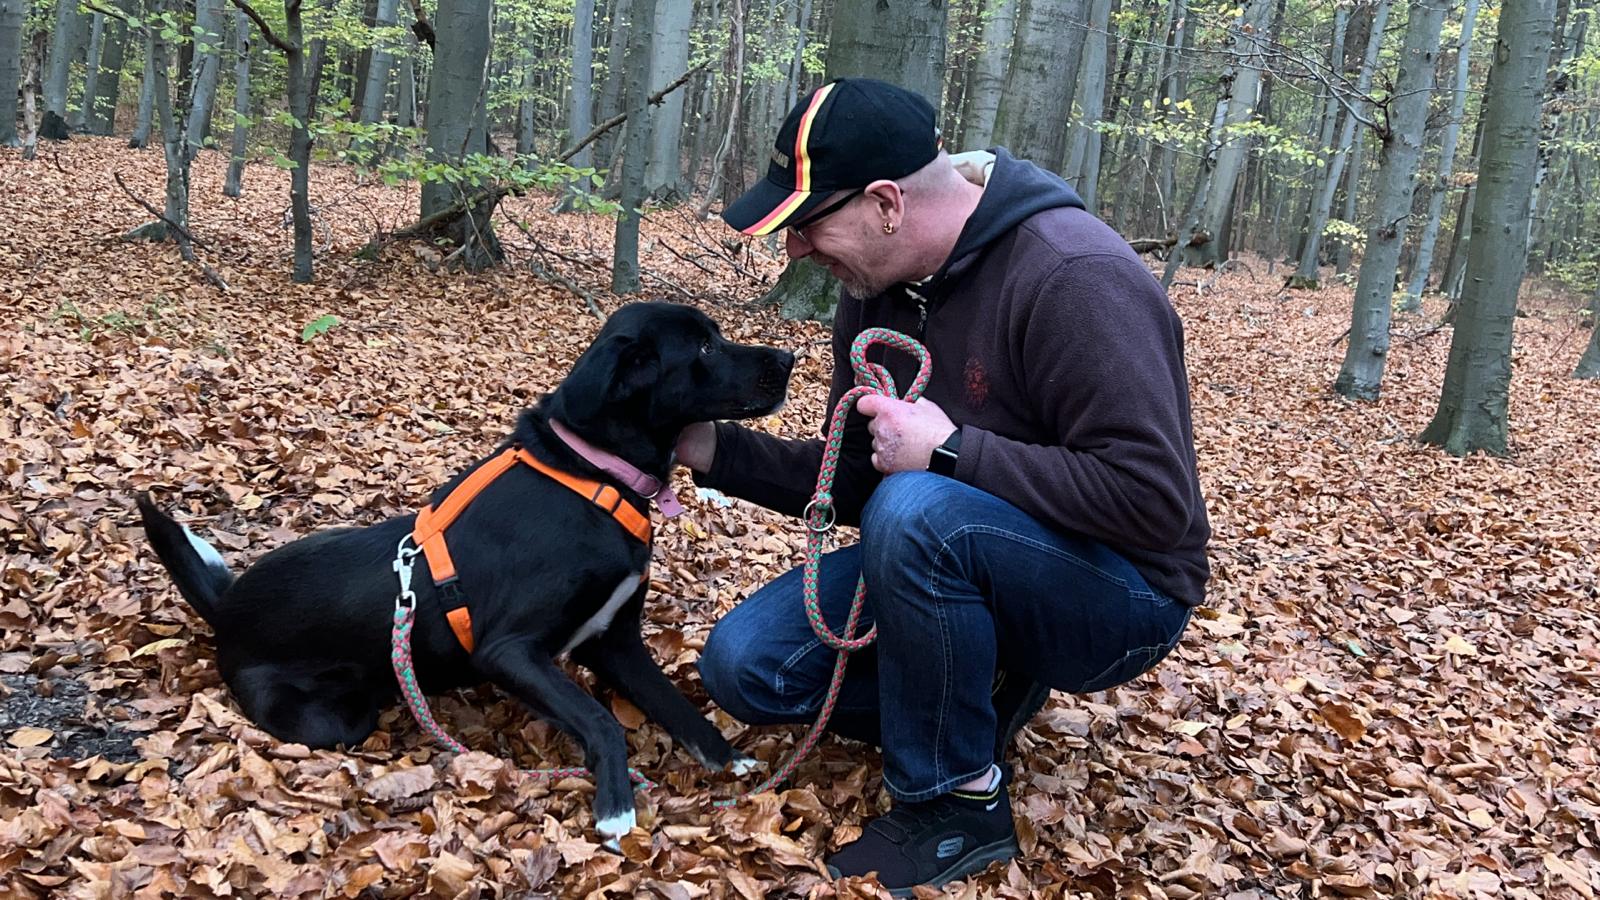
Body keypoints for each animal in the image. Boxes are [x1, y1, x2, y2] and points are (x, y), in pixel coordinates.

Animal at [138, 302, 795, 846]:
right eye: (704, 346)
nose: (789, 358)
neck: (593, 477)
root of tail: (225, 610)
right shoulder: (510, 650)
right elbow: (601, 720)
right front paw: (615, 808)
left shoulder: (614, 641)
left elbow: (673, 705)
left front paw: (727, 759)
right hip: (328, 720)